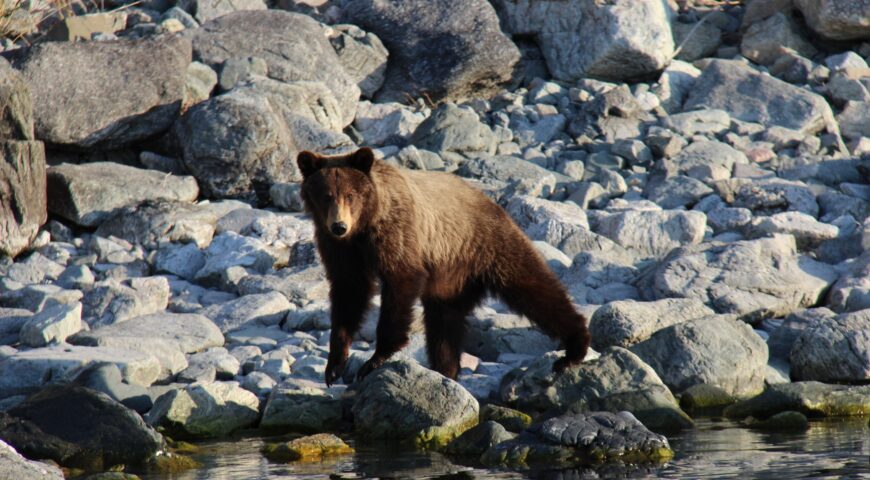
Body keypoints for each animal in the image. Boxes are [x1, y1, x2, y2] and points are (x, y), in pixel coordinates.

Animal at [297, 147, 591, 386]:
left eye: (351, 195)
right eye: (326, 195)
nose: (339, 225)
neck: (363, 227)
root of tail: (494, 203)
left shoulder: (396, 233)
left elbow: (399, 283)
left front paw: (374, 360)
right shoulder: (339, 248)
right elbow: (349, 291)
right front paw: (334, 366)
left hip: (485, 245)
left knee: (533, 287)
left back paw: (574, 348)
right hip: (450, 276)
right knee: (444, 320)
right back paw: (445, 369)